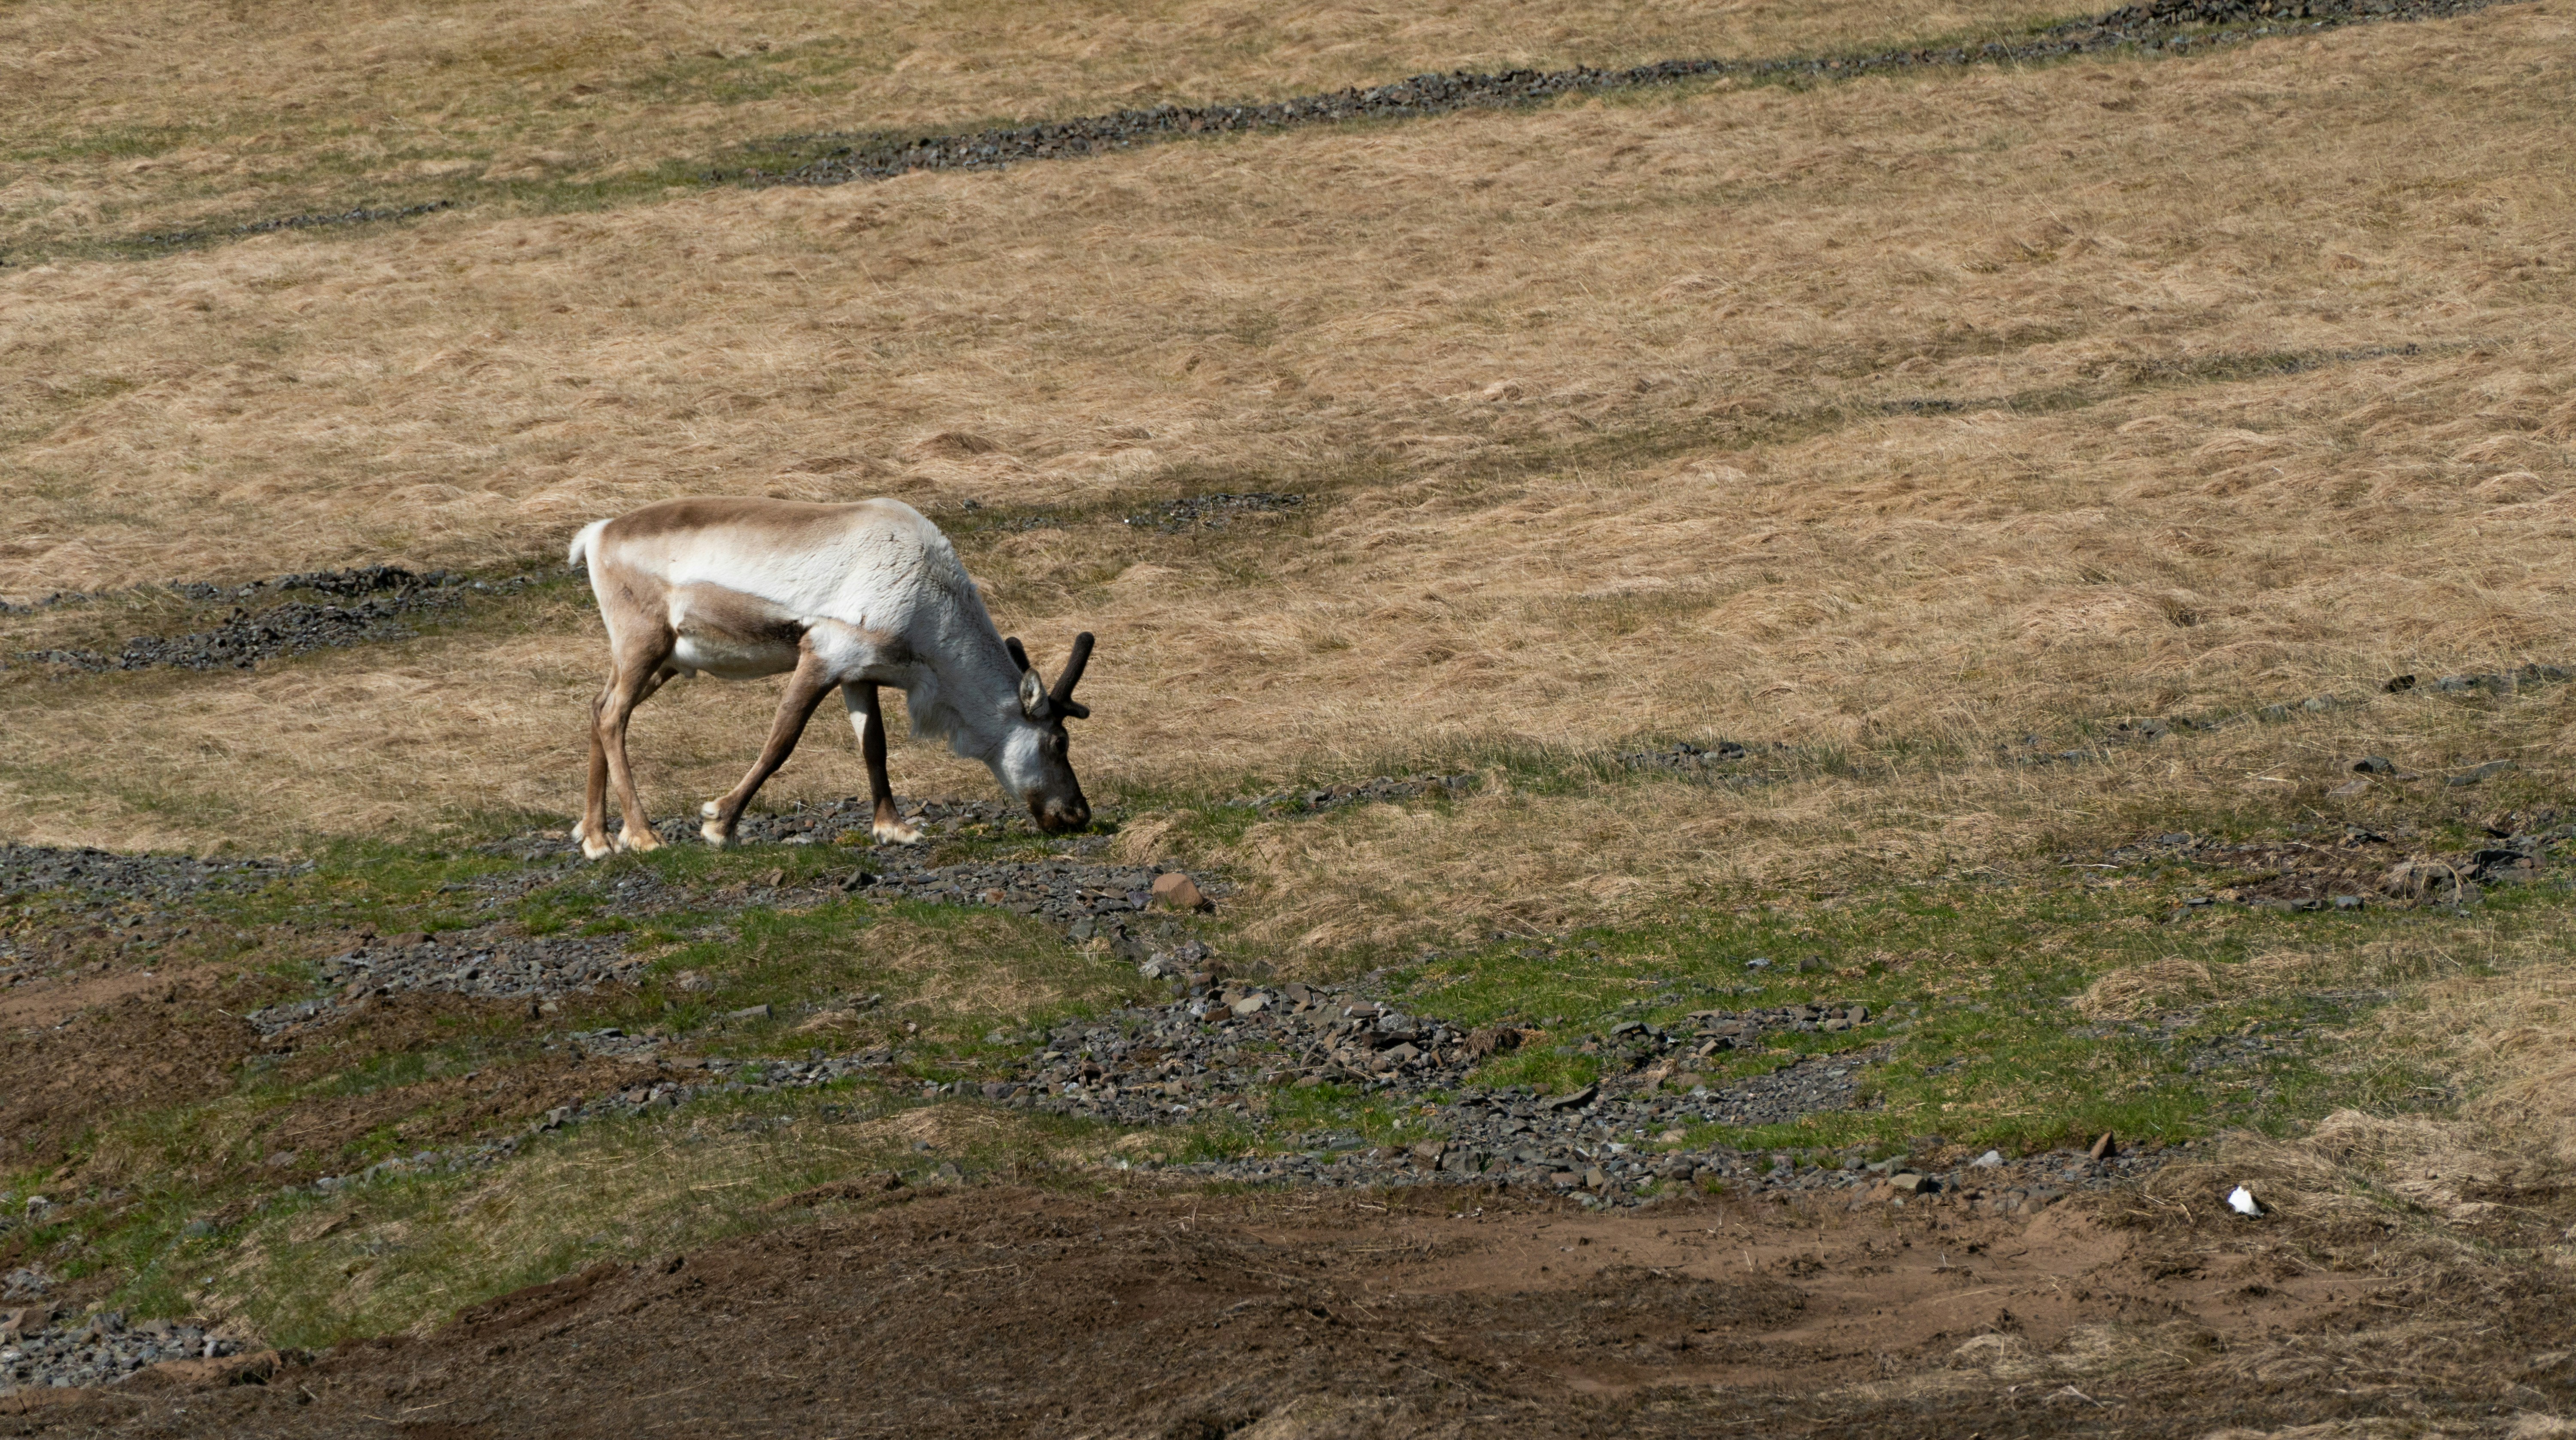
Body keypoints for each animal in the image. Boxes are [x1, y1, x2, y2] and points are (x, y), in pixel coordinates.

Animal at [565, 497, 1093, 858]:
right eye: (1059, 742)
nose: (1079, 814)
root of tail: (595, 534)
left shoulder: (860, 672)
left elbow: (875, 747)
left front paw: (893, 827)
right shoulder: (825, 651)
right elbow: (782, 740)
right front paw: (720, 822)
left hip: (664, 660)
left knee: (597, 706)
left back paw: (596, 837)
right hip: (643, 641)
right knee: (613, 715)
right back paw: (642, 834)